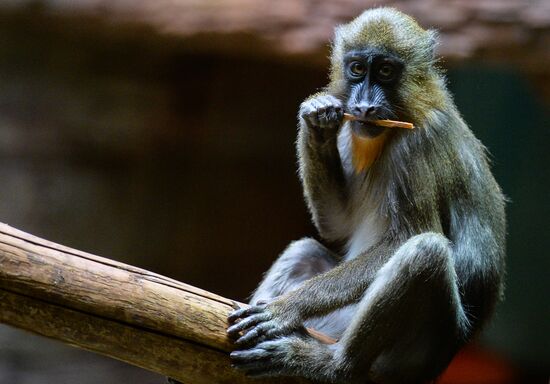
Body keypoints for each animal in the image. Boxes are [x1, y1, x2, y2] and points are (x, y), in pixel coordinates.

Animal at [226, 8, 506, 384]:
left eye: (386, 71)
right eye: (357, 68)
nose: (365, 107)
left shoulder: (415, 145)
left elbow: (406, 237)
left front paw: (285, 309)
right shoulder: (351, 132)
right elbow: (336, 224)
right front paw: (318, 118)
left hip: (409, 355)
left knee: (424, 254)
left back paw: (330, 364)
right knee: (304, 251)